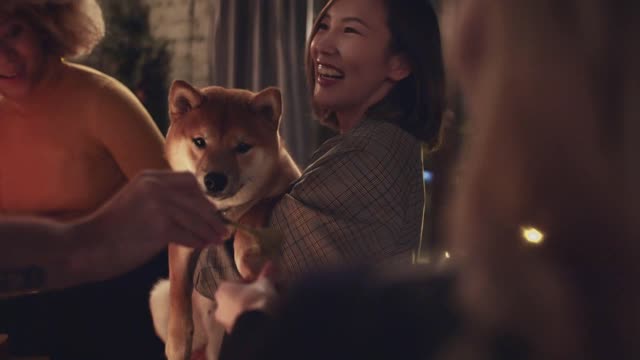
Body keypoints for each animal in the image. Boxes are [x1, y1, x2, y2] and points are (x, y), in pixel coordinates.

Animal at [149, 80, 300, 358]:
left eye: (242, 147)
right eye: (199, 141)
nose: (215, 179)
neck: (221, 212)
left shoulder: (287, 184)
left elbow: (252, 215)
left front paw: (246, 256)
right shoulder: (181, 237)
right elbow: (178, 290)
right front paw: (177, 343)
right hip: (158, 297)